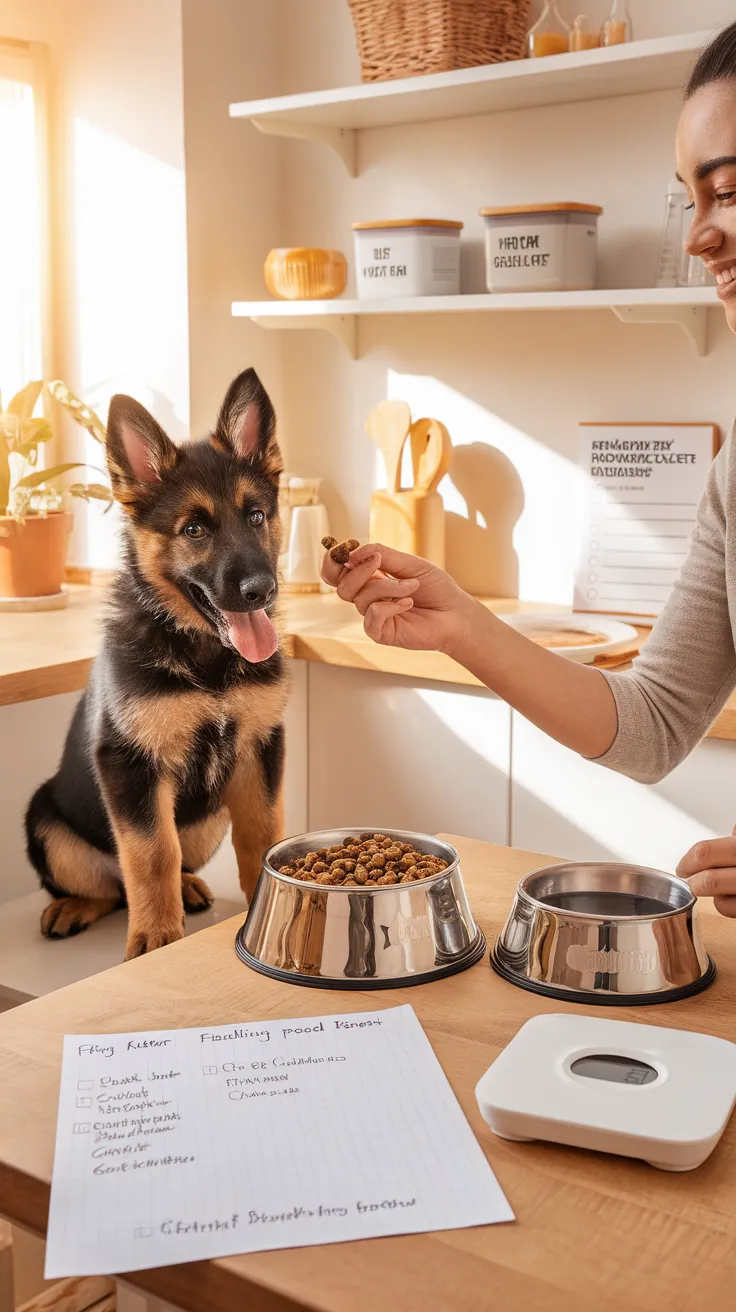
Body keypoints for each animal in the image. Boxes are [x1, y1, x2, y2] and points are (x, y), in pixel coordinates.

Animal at [23, 364, 287, 960]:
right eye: (194, 529)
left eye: (257, 516)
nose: (261, 591)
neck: (204, 656)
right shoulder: (131, 766)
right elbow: (150, 854)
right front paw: (155, 940)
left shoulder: (260, 750)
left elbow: (262, 834)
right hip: (44, 822)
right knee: (108, 886)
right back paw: (73, 906)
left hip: (209, 818)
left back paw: (188, 887)